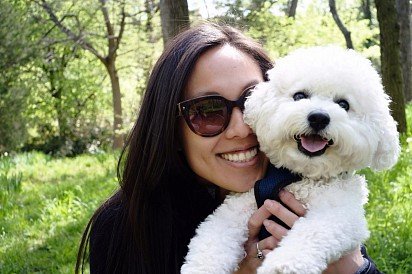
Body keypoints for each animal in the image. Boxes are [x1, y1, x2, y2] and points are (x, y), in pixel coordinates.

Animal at [180, 46, 400, 272]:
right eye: (300, 95)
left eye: (343, 104)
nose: (318, 117)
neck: (301, 177)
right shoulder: (245, 200)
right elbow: (217, 230)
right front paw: (203, 265)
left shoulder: (341, 213)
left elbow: (313, 232)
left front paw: (283, 264)